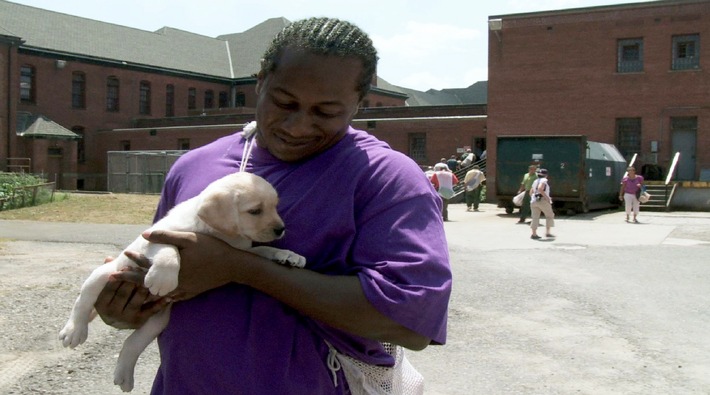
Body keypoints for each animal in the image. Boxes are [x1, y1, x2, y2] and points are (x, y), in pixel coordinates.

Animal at [57, 172, 306, 392]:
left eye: (275, 206)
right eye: (255, 211)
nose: (281, 229)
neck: (217, 233)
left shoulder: (241, 251)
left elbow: (263, 251)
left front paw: (287, 254)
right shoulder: (155, 238)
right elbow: (170, 248)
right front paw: (163, 277)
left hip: (159, 319)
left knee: (132, 343)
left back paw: (124, 374)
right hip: (106, 273)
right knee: (83, 301)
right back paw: (73, 331)